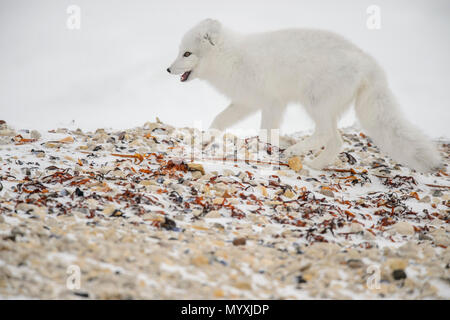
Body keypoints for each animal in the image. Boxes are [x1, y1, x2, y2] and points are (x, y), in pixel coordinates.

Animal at [167, 18, 442, 171]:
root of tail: (368, 62)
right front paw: (204, 141)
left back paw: (295, 152)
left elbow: (265, 131)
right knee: (336, 141)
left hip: (315, 103)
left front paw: (278, 145)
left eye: (187, 54)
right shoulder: (246, 102)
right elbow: (220, 119)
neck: (230, 58)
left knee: (327, 135)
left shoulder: (271, 102)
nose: (168, 69)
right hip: (325, 109)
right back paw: (315, 164)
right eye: (180, 51)